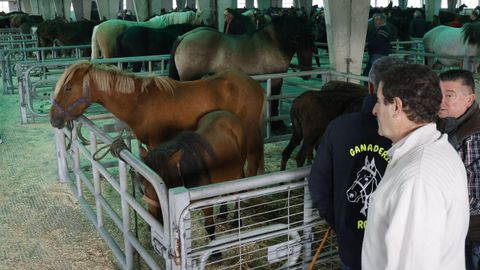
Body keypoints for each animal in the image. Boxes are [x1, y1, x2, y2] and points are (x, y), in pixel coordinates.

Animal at [50, 62, 266, 178]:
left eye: (68, 87)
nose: (53, 119)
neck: (140, 101)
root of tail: (254, 85)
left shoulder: (157, 143)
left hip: (247, 131)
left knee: (253, 159)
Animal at [137, 109, 246, 240]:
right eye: (145, 185)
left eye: (173, 185)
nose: (159, 224)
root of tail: (226, 113)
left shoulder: (206, 203)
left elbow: (210, 227)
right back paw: (223, 214)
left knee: (237, 194)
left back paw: (236, 221)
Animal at [170, 15, 316, 132]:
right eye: (303, 42)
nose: (307, 73)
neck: (273, 42)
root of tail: (184, 37)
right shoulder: (275, 78)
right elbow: (274, 102)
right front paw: (278, 126)